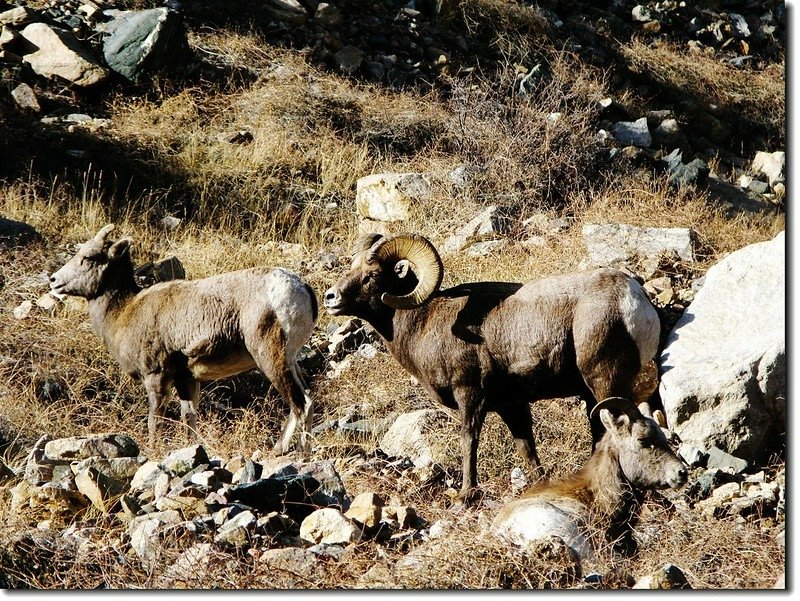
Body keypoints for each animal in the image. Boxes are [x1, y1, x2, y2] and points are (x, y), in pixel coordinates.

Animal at [48, 225, 318, 450]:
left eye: (88, 258)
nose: (54, 280)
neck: (125, 311)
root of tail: (301, 288)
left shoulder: (156, 377)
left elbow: (155, 420)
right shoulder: (186, 380)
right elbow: (189, 419)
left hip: (270, 358)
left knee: (300, 404)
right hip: (290, 359)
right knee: (307, 400)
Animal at [322, 234, 660, 502]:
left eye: (372, 275)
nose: (330, 297)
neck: (425, 322)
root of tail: (635, 301)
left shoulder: (470, 396)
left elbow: (469, 441)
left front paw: (466, 496)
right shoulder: (512, 405)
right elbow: (526, 448)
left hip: (605, 383)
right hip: (593, 393)